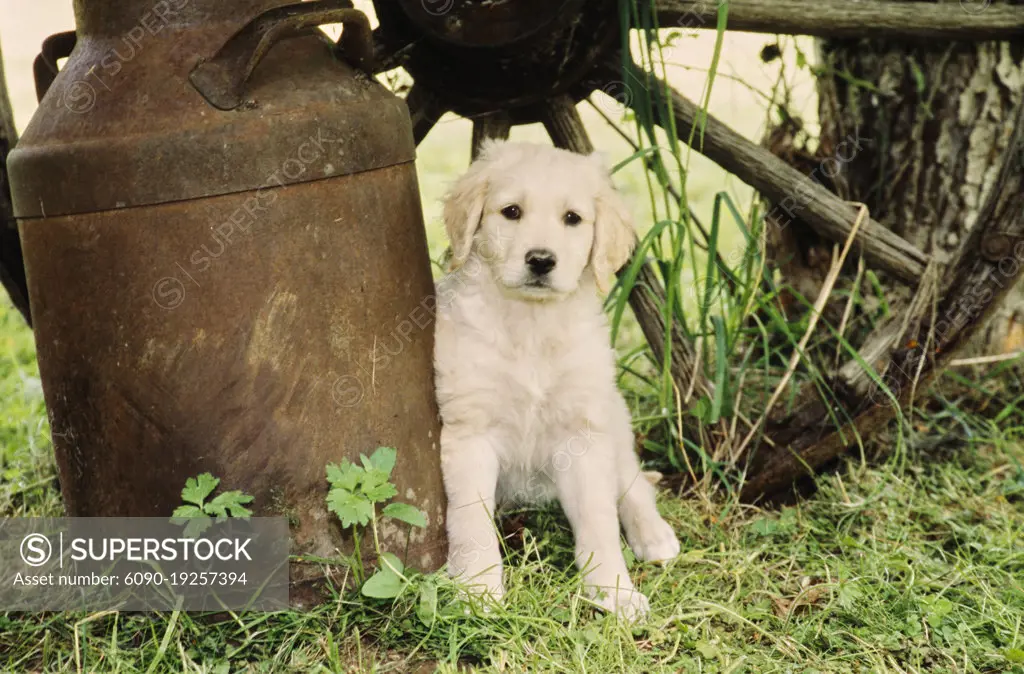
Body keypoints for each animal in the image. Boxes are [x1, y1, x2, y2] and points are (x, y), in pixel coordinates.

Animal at [432, 141, 679, 618]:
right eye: (511, 212)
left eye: (573, 219)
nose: (541, 261)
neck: (531, 323)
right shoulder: (469, 431)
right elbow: (471, 519)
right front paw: (478, 588)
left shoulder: (583, 433)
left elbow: (599, 519)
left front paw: (614, 590)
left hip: (613, 416)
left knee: (634, 482)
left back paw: (654, 535)